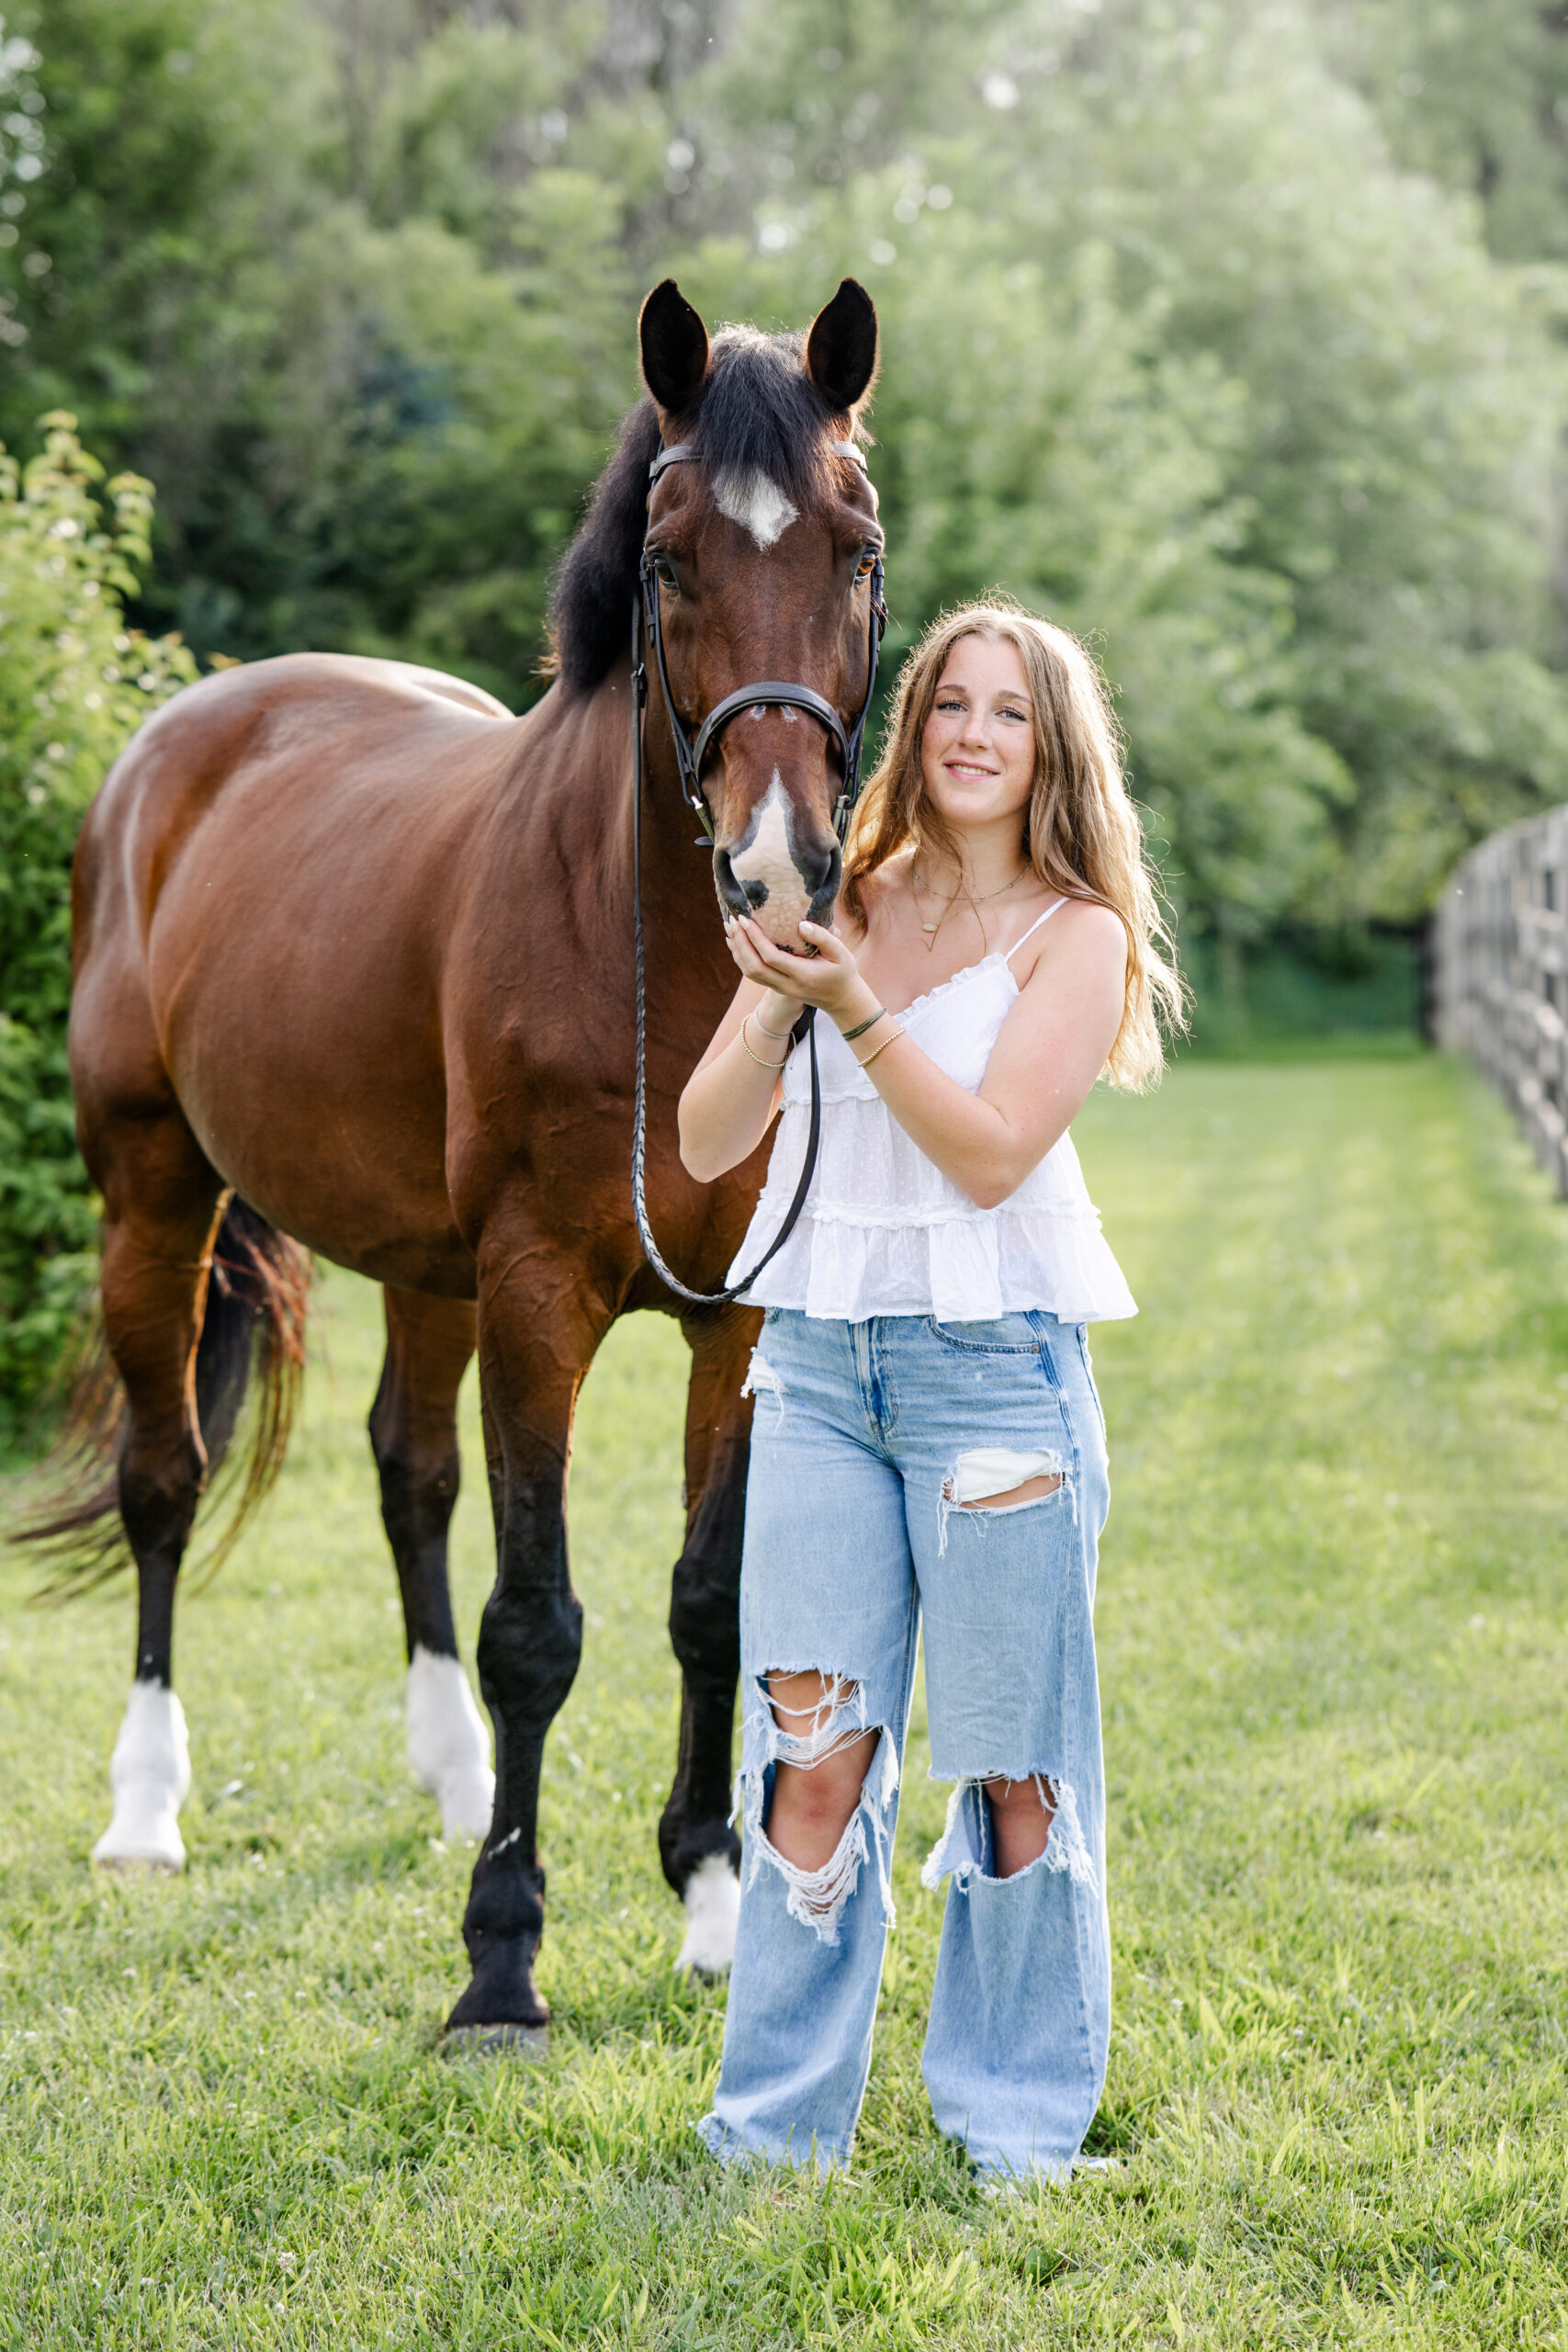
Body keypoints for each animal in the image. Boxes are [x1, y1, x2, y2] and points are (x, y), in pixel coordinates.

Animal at [24, 275, 884, 2043]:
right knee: (164, 1483)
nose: (777, 872)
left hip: (423, 1271)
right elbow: (537, 1620)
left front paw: (711, 1906)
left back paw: (453, 1779)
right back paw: (147, 1810)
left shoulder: (735, 1319)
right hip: (158, 1204)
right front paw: (501, 1955)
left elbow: (709, 1604)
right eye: (669, 558)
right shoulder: (540, 1294)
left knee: (404, 1475)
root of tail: (173, 744)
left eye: (855, 546)